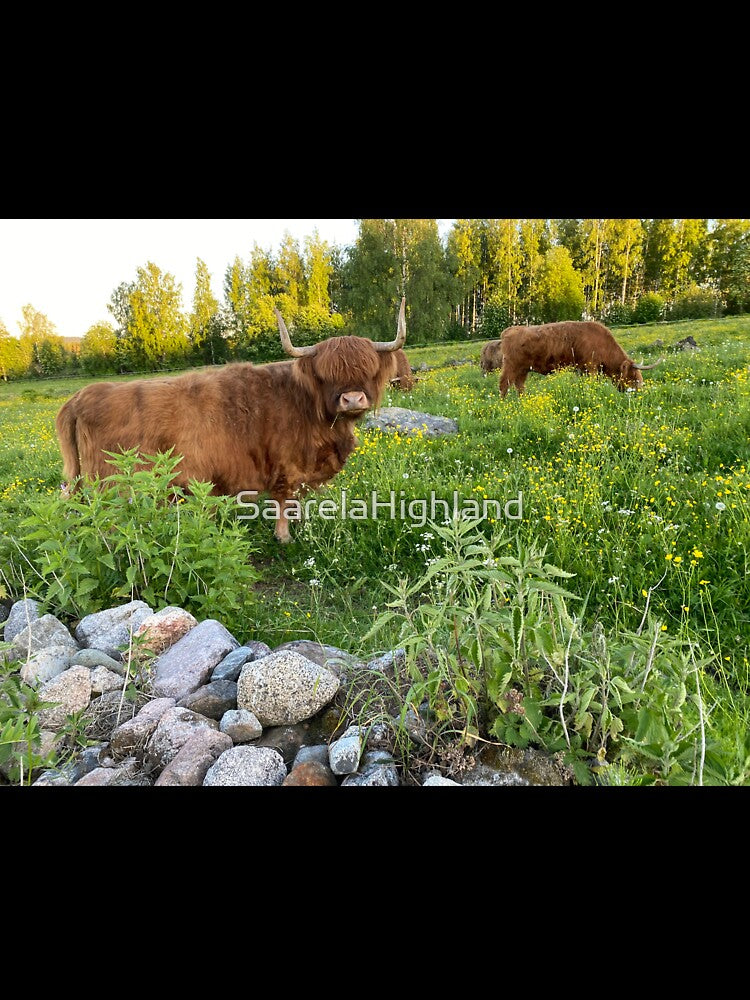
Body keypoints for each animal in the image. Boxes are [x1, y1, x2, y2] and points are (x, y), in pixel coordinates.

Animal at [55, 298, 407, 543]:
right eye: (326, 373)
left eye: (366, 368)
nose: (352, 399)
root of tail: (81, 396)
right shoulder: (285, 465)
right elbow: (284, 499)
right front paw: (284, 536)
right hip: (112, 485)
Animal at [495, 321, 663, 398]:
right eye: (634, 377)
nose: (639, 393)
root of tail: (509, 330)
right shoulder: (591, 367)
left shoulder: (582, 369)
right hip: (511, 366)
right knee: (504, 383)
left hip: (523, 369)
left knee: (519, 385)